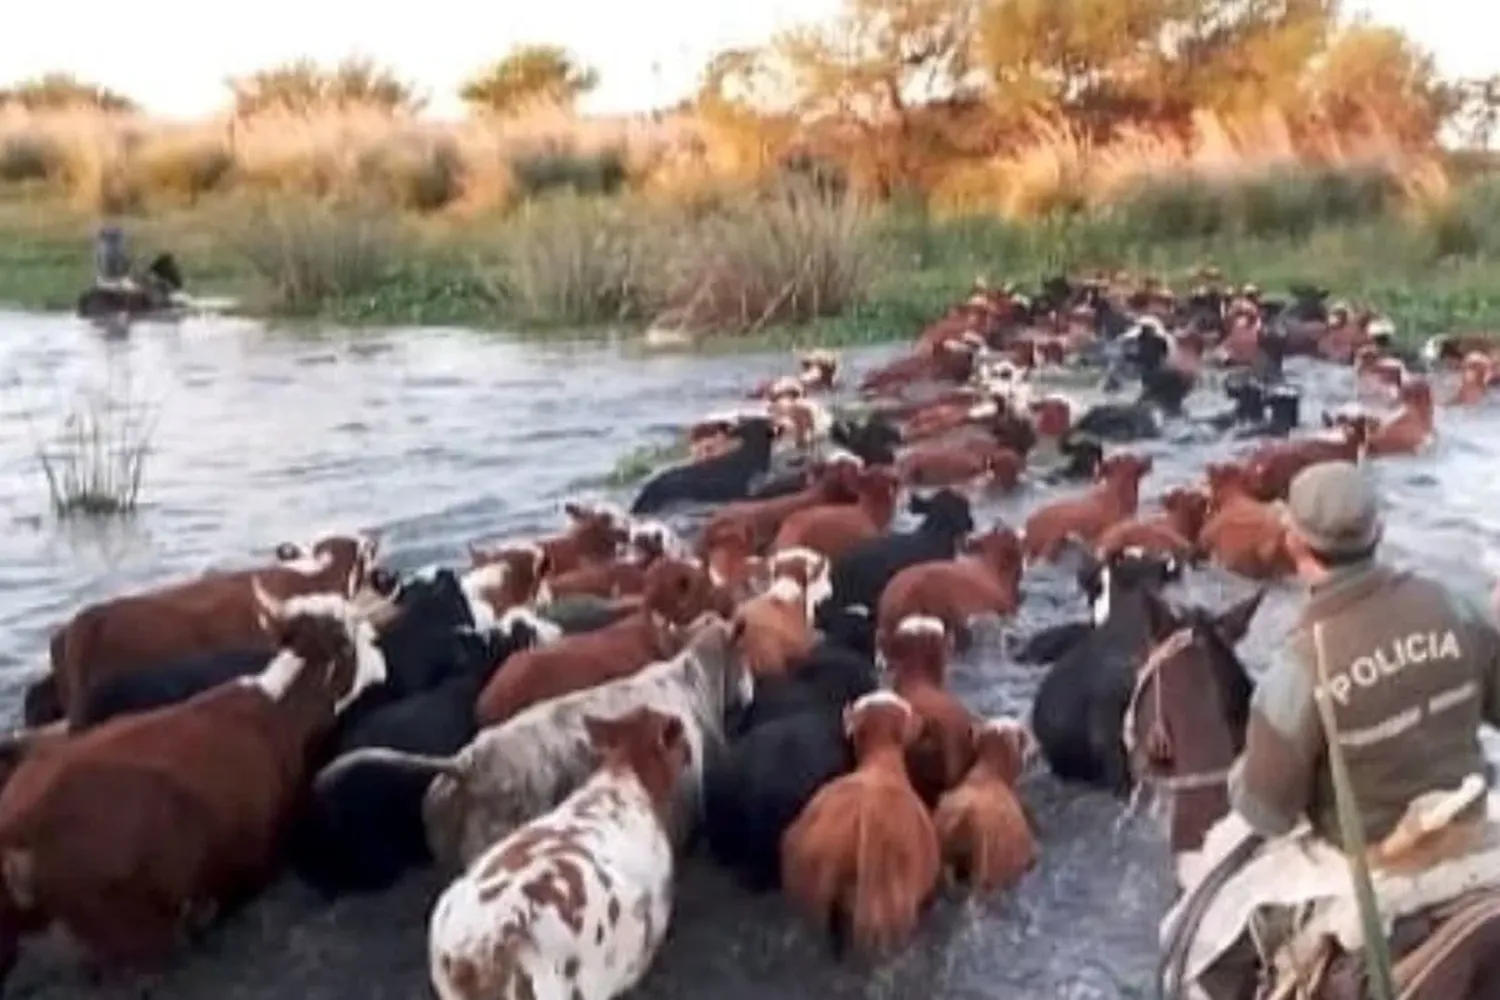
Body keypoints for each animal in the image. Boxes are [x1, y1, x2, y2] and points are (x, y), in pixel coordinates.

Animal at [0, 581, 387, 983]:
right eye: (363, 636)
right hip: (130, 932)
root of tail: (19, 819)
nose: (382, 662)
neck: (281, 708)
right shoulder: (251, 864)